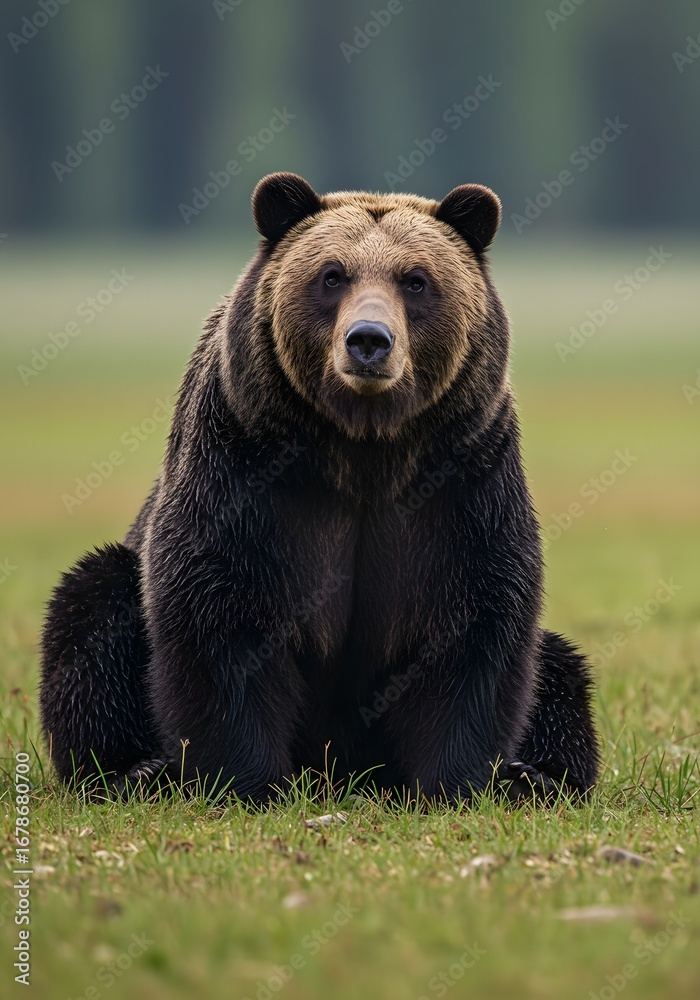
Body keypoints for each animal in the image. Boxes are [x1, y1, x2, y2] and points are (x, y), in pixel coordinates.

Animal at [40, 172, 599, 804]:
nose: (369, 340)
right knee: (93, 612)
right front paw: (247, 780)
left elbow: (473, 620)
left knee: (561, 671)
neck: (362, 449)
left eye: (415, 280)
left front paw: (458, 781)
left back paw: (538, 775)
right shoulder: (247, 468)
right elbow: (220, 611)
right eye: (332, 275)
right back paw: (134, 770)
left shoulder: (461, 476)